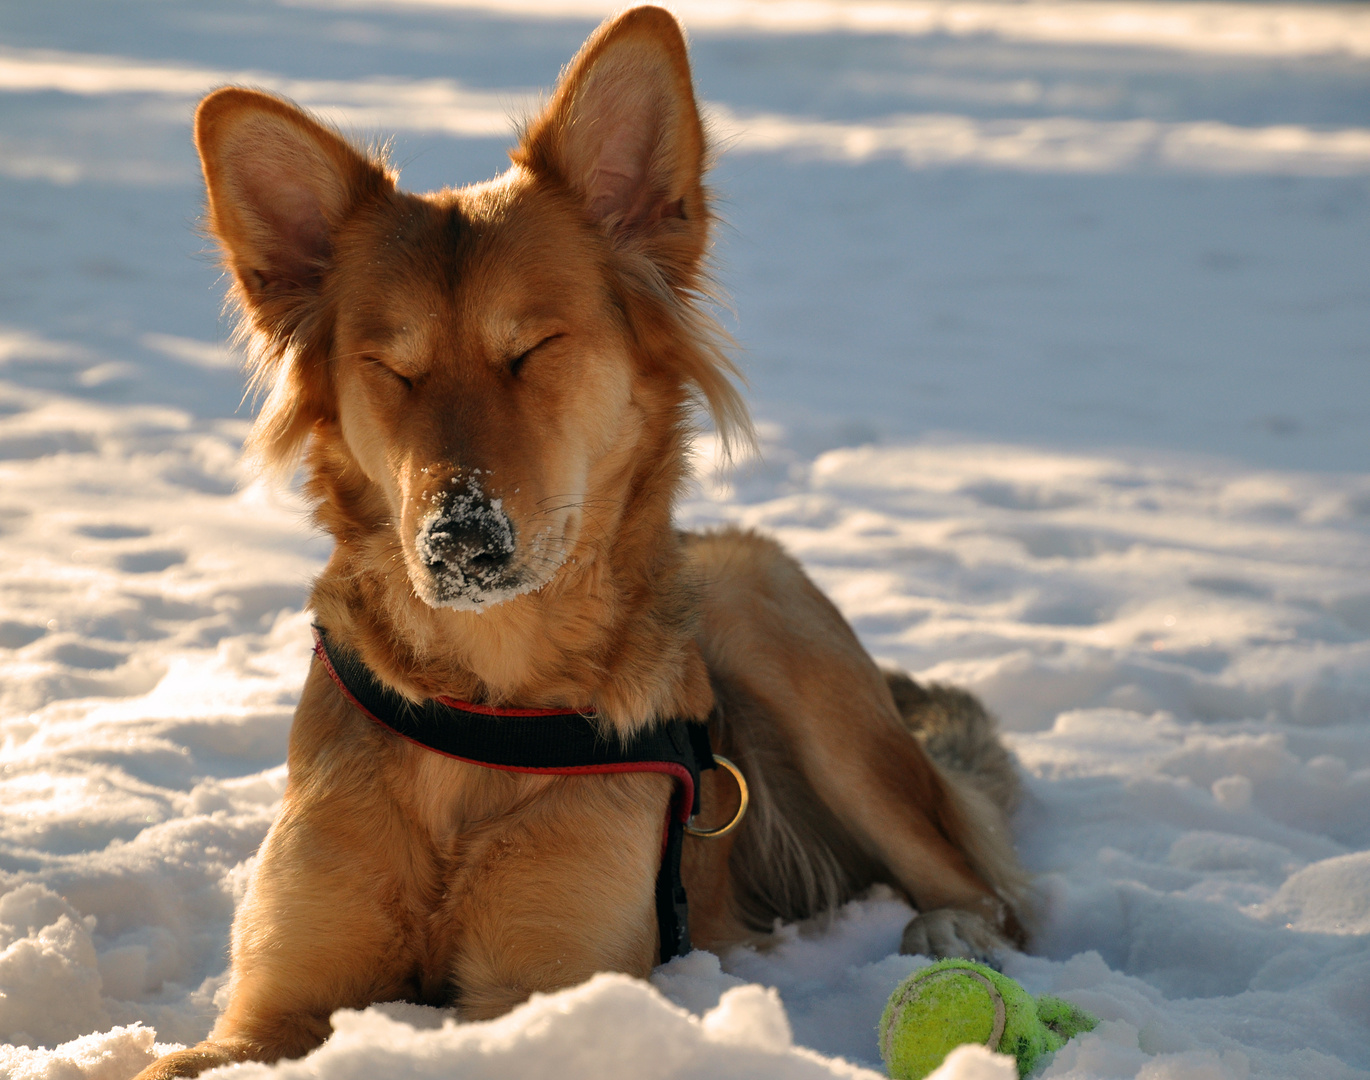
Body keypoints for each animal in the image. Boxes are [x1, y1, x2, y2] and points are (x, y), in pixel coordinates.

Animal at [130, 6, 1030, 1069]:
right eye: (392, 370)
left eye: (534, 350)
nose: (460, 540)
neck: (483, 708)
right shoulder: (273, 1007)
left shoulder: (542, 989)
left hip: (772, 618)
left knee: (989, 888)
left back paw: (952, 932)